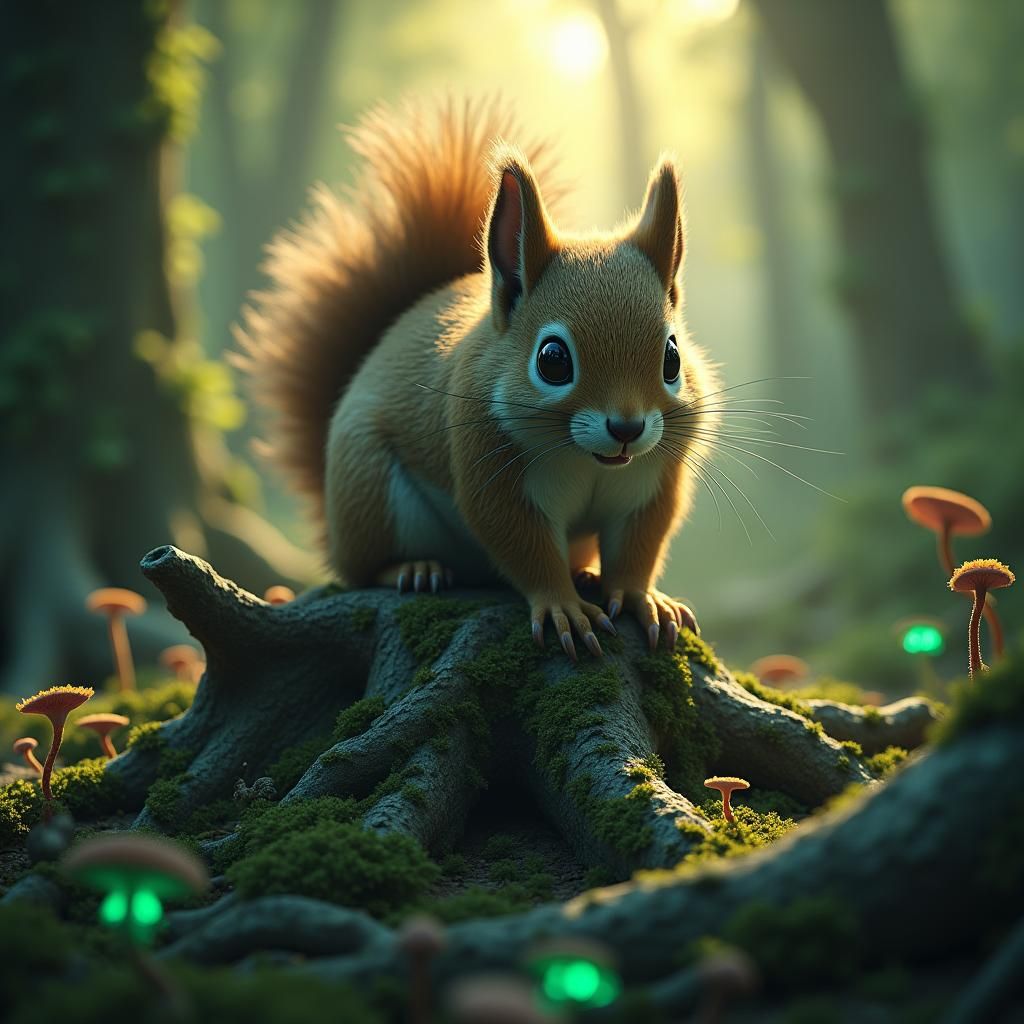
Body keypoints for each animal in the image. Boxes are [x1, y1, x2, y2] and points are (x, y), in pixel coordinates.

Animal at [236, 97, 719, 660]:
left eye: (673, 358)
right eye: (553, 360)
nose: (627, 429)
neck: (587, 460)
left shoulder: (651, 480)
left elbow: (639, 545)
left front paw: (643, 599)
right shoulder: (488, 464)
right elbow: (520, 542)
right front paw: (563, 607)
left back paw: (585, 573)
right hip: (369, 490)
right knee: (362, 570)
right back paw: (415, 569)